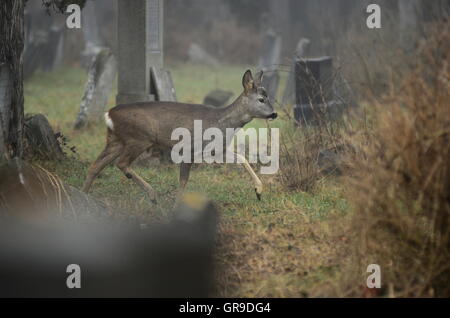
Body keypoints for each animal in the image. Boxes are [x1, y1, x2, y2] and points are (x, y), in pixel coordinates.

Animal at [82, 70, 276, 202]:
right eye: (261, 99)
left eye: (268, 97)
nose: (274, 114)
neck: (222, 122)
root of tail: (109, 115)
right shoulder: (189, 148)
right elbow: (183, 181)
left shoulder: (217, 150)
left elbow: (242, 158)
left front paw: (259, 190)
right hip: (139, 138)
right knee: (121, 163)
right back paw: (152, 195)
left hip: (115, 140)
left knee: (95, 166)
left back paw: (83, 198)